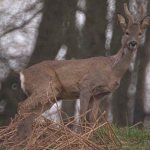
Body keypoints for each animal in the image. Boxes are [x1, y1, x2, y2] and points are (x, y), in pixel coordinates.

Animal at [14, 2, 150, 137]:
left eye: (140, 33)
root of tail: (23, 74)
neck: (112, 70)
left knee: (31, 113)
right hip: (45, 86)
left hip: (51, 96)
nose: (133, 43)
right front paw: (80, 136)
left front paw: (90, 137)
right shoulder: (86, 85)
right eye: (126, 32)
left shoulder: (99, 95)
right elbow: (82, 115)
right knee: (22, 106)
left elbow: (92, 120)